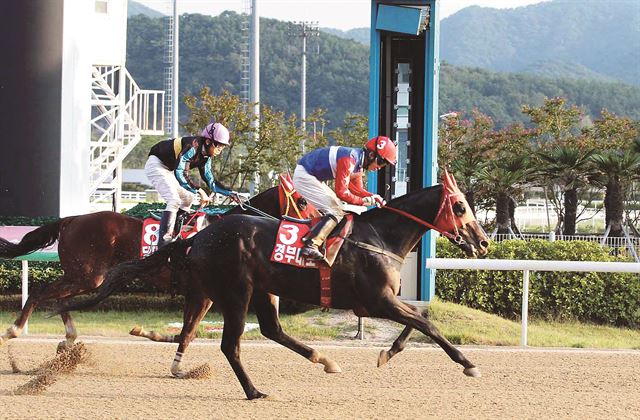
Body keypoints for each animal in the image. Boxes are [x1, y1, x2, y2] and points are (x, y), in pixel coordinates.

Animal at [0, 185, 316, 350]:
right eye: (302, 201)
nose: (317, 221)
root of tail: (71, 219)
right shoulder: (204, 293)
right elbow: (187, 331)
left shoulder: (198, 294)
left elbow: (186, 331)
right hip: (87, 276)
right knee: (41, 292)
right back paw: (15, 329)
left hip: (83, 277)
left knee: (61, 300)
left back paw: (68, 336)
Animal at [57, 175, 490, 400]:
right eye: (460, 206)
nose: (483, 242)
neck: (379, 237)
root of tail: (200, 236)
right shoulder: (376, 299)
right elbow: (427, 324)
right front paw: (468, 364)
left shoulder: (383, 301)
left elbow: (418, 321)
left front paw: (388, 352)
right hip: (235, 292)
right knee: (231, 344)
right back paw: (254, 391)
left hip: (261, 289)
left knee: (271, 329)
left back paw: (323, 359)